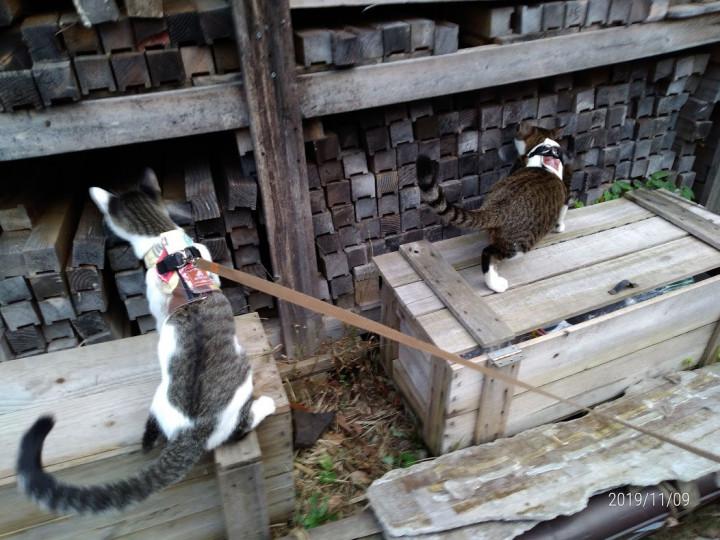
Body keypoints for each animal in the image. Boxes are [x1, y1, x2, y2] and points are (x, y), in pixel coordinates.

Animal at [16, 169, 276, 514]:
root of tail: (190, 430)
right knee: (240, 428)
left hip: (160, 402)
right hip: (240, 385)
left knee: (149, 434)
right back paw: (265, 405)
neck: (163, 241)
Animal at [417, 125, 570, 293]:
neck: (541, 161)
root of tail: (498, 207)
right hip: (518, 244)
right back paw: (495, 283)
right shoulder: (565, 195)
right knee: (488, 252)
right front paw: (559, 227)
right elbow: (562, 212)